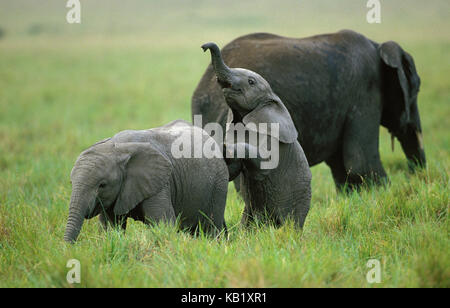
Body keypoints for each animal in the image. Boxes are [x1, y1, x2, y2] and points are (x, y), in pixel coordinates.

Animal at [64, 120, 229, 243]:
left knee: (210, 226)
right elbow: (111, 227)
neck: (117, 148)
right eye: (71, 183)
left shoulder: (159, 183)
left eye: (102, 185)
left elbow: (163, 224)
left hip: (219, 183)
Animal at [191, 30, 426, 190]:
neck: (378, 47)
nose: (417, 178)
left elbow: (342, 166)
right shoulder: (366, 91)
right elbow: (360, 161)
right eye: (417, 88)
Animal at [202, 42, 312, 229]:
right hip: (250, 210)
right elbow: (232, 172)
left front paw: (225, 148)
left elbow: (264, 164)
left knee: (292, 223)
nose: (204, 47)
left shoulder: (272, 136)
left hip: (300, 201)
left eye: (250, 82)